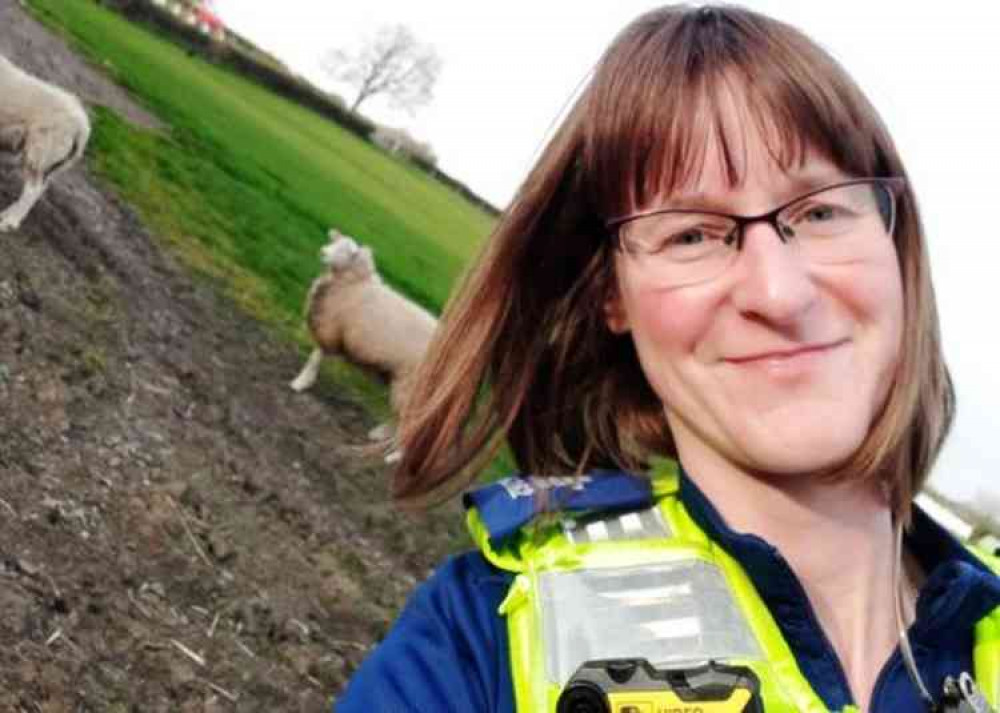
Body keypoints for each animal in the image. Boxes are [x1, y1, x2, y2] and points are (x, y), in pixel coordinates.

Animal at [0, 54, 92, 231]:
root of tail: (82, 126)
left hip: (41, 151)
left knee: (32, 190)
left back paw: (9, 222)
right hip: (52, 161)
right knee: (40, 188)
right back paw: (9, 214)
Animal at [290, 228, 438, 442]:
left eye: (346, 251)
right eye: (334, 242)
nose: (323, 251)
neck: (353, 283)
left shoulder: (331, 329)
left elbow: (315, 358)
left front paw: (301, 382)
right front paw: (304, 381)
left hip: (410, 383)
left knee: (407, 422)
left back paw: (390, 446)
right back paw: (380, 434)